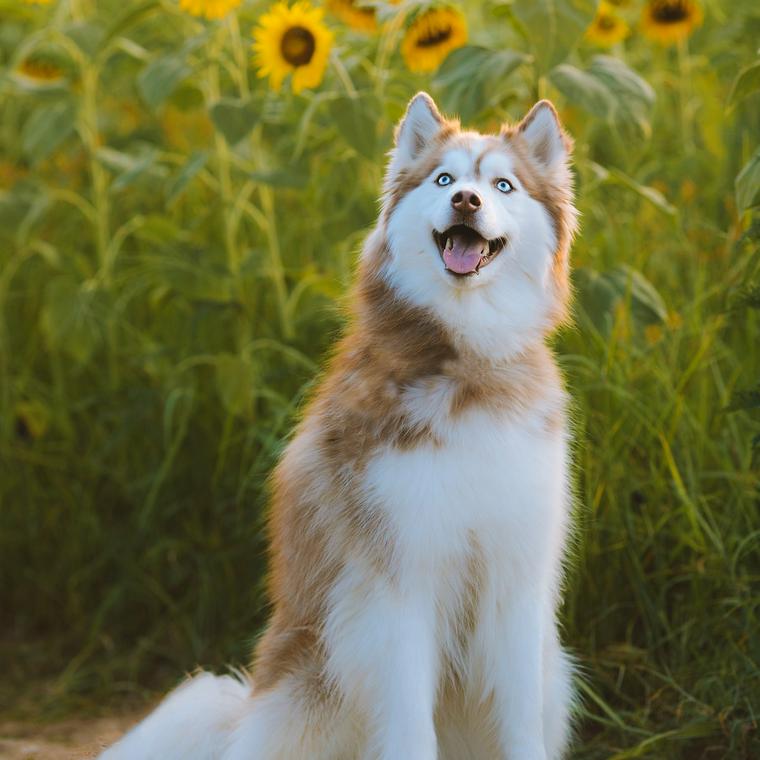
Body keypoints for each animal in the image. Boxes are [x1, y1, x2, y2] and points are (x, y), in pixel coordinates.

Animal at [101, 90, 576, 760]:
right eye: (444, 179)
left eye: (502, 185)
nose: (466, 201)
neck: (468, 367)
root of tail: (243, 717)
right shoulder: (397, 583)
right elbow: (409, 725)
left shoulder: (516, 580)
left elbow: (520, 721)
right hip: (309, 688)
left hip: (554, 669)